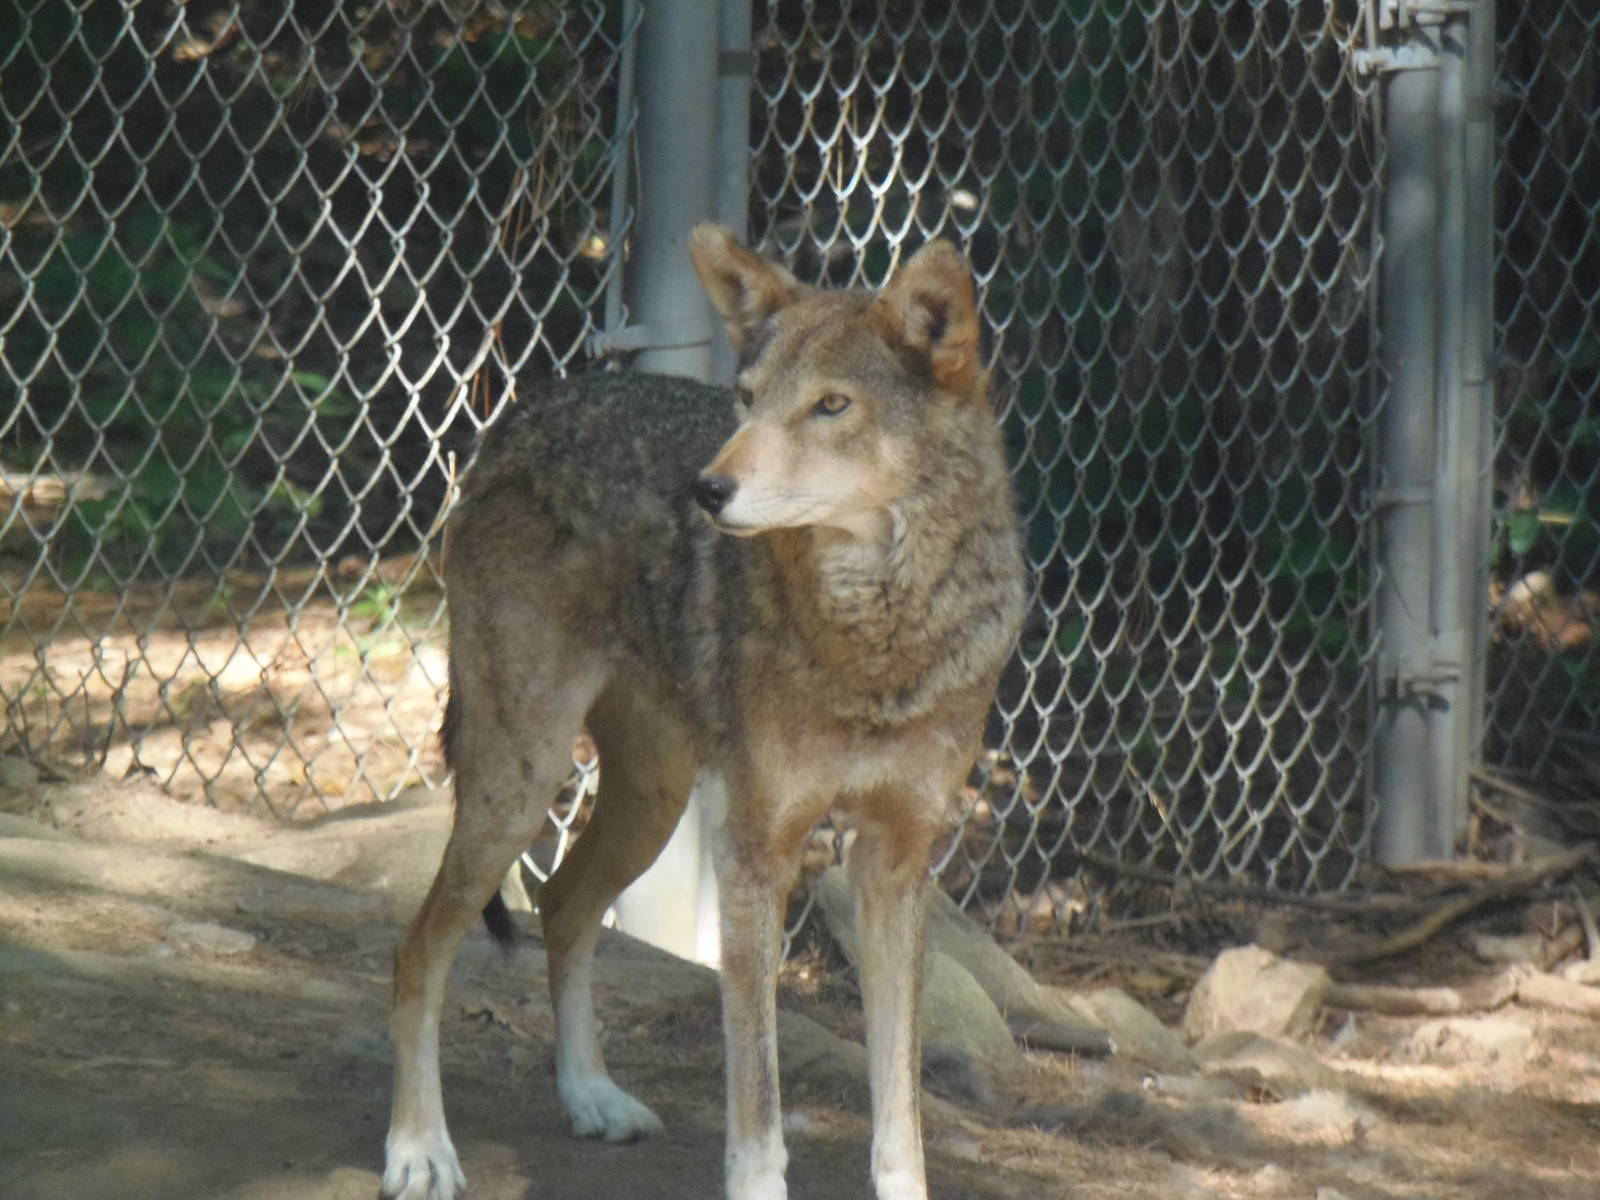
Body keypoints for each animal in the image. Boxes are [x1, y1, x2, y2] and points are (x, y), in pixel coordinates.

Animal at [379, 225, 1027, 1200]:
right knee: (421, 948)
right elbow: (757, 1106)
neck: (874, 639)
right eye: (748, 400)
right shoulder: (756, 852)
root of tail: (526, 412)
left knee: (561, 905)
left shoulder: (896, 863)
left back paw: (591, 1095)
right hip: (520, 785)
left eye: (831, 406)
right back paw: (420, 1149)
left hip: (650, 806)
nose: (705, 490)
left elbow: (900, 1109)